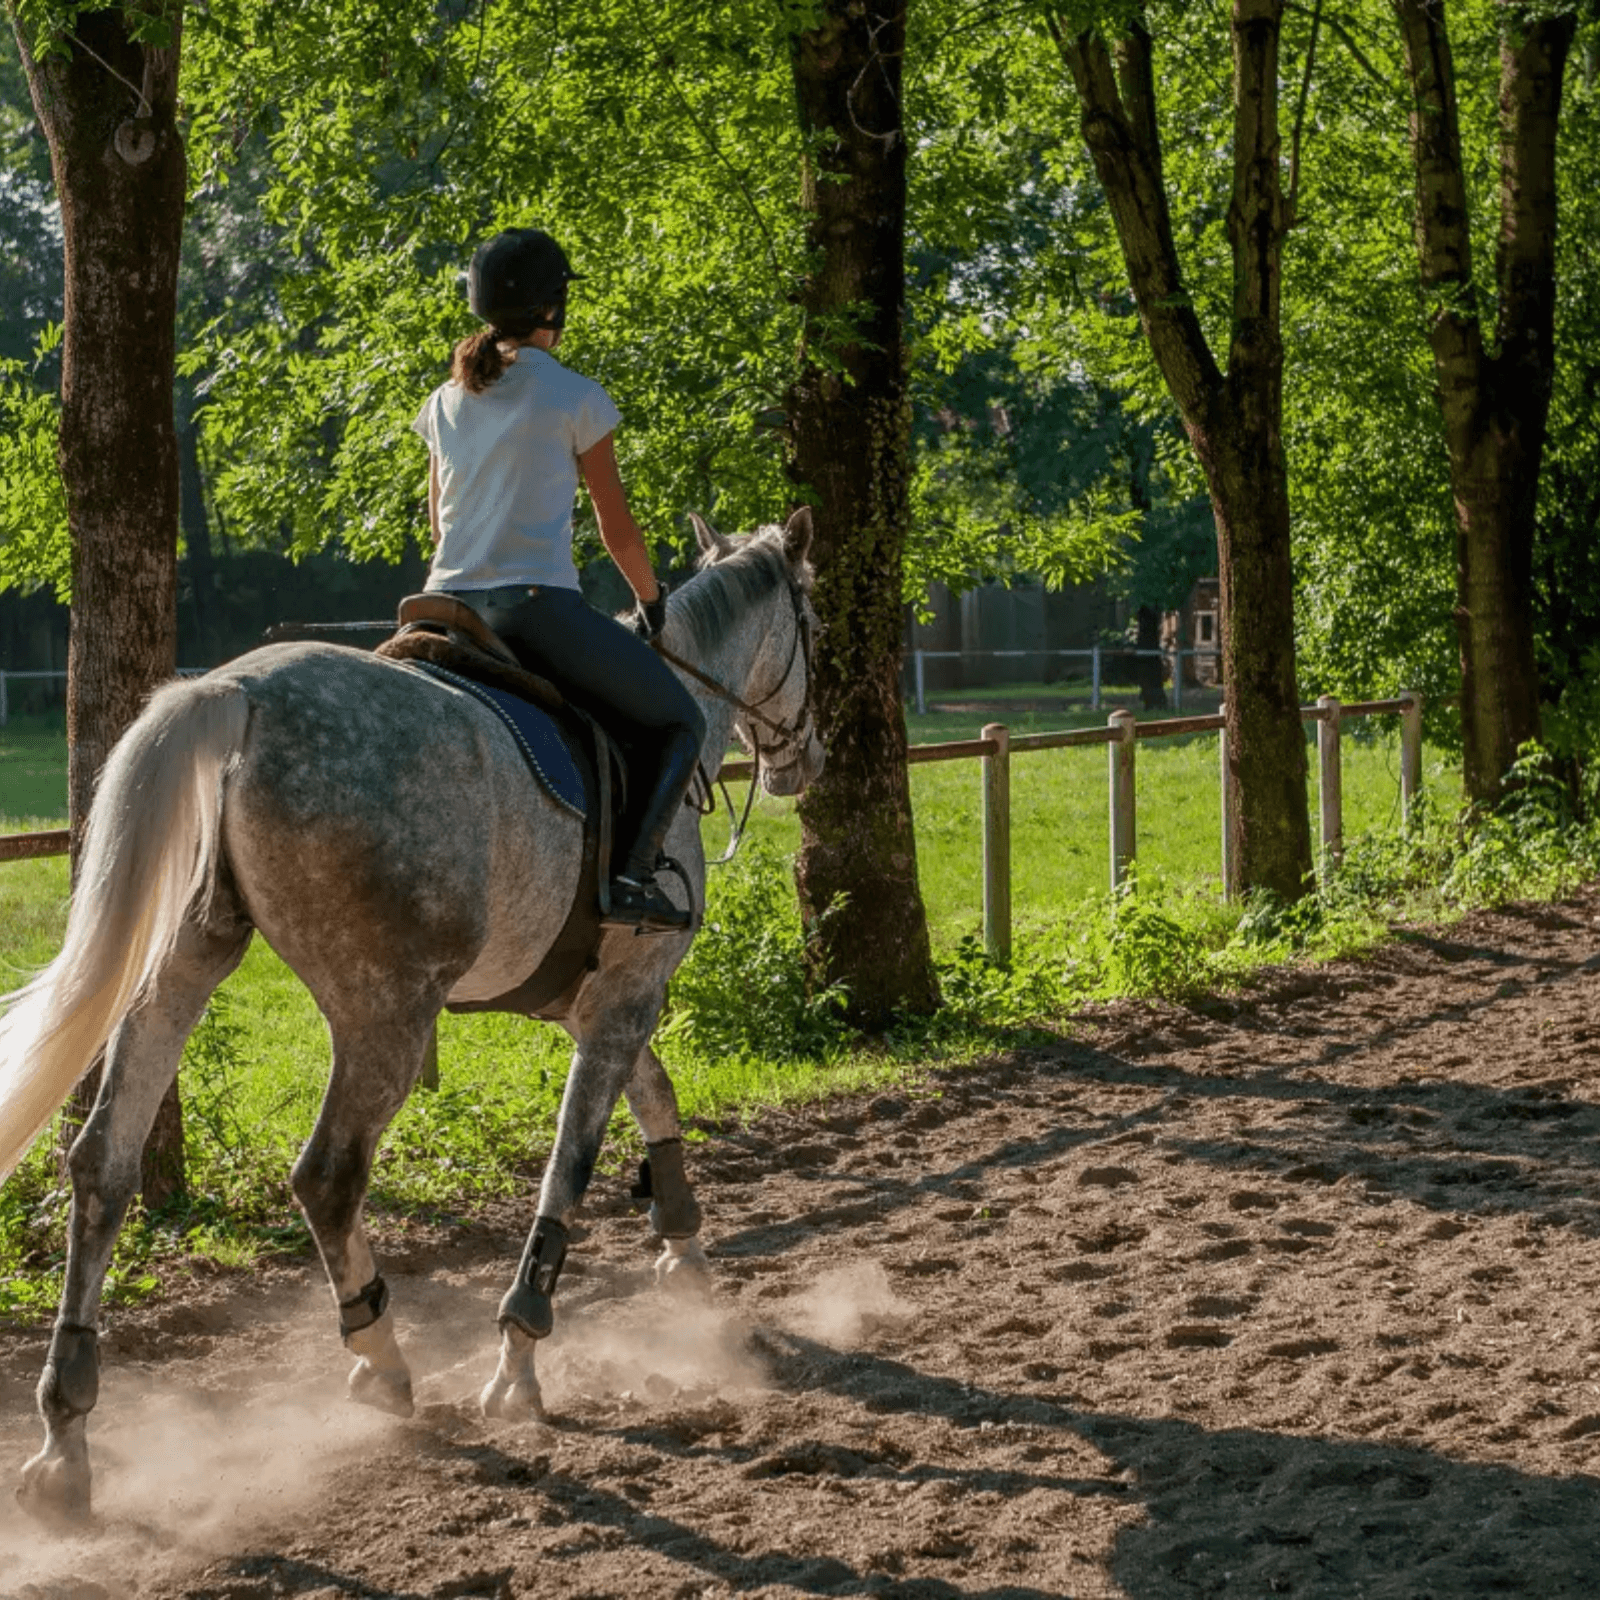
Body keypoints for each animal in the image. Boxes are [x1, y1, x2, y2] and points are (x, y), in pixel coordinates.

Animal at [0, 509, 822, 1524]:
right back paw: (382, 1362)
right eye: (815, 622)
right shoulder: (629, 990)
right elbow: (574, 1160)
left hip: (186, 965)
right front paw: (520, 1358)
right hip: (383, 1012)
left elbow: (654, 1099)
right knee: (327, 1178)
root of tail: (236, 694)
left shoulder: (594, 1000)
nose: (805, 761)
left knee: (102, 1167)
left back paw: (65, 1438)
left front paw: (685, 1257)